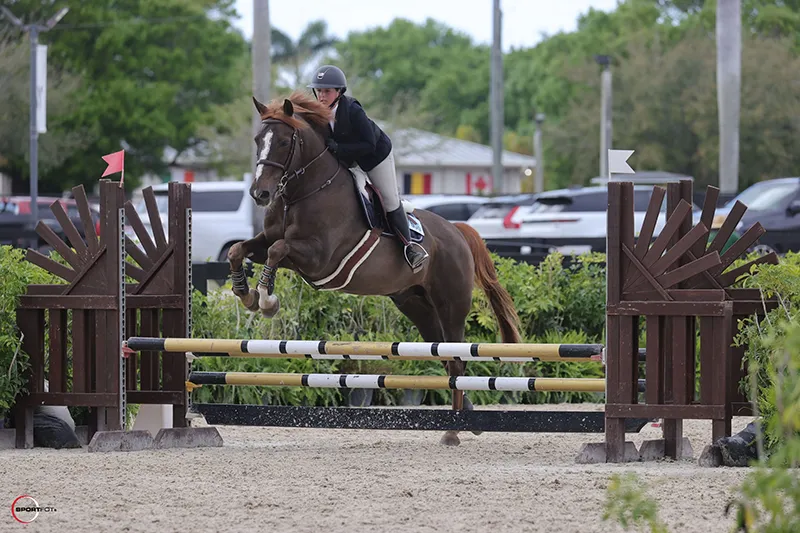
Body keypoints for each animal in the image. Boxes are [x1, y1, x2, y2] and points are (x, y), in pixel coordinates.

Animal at [227, 91, 521, 446]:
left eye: (284, 141)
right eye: (259, 140)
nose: (261, 193)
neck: (302, 193)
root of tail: (457, 231)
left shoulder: (318, 258)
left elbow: (277, 249)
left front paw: (266, 299)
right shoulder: (269, 240)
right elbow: (240, 249)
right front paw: (245, 293)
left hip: (452, 305)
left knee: (457, 361)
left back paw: (453, 432)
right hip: (416, 306)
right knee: (444, 357)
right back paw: (470, 421)